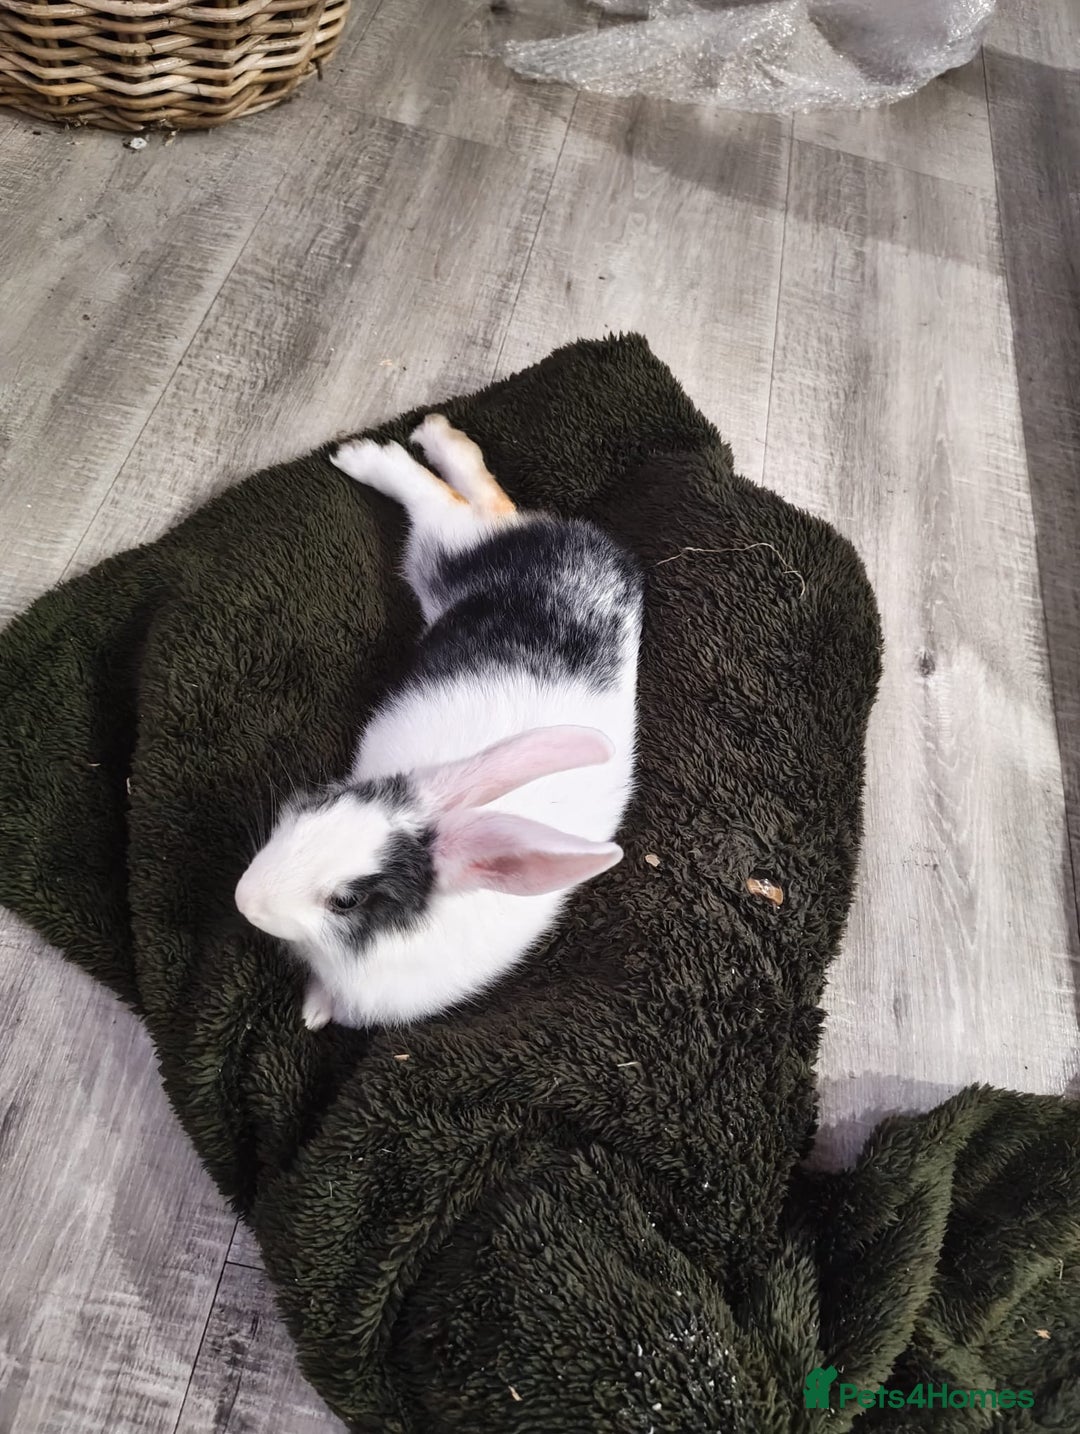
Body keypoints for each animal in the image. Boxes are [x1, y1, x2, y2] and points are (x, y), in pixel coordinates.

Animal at [234, 414, 642, 1029]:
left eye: (346, 901)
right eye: (320, 803)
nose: (244, 897)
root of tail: (588, 546)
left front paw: (313, 1013)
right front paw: (313, 1013)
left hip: (441, 556)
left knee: (463, 504)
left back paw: (387, 448)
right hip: (441, 559)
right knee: (472, 500)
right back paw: (400, 443)